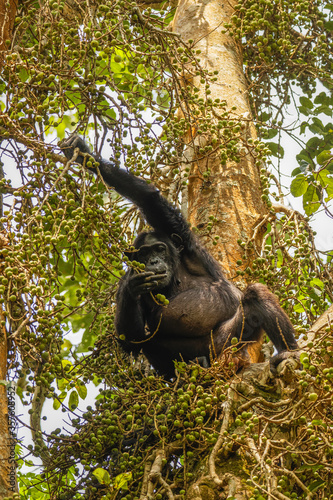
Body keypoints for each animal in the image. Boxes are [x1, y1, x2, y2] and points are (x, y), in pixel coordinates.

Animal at [59, 135, 298, 376]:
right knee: (149, 343)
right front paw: (132, 287)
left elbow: (149, 199)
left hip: (230, 343)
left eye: (158, 249)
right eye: (144, 254)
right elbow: (131, 341)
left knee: (254, 296)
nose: (153, 261)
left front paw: (83, 153)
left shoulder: (185, 242)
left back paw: (288, 352)